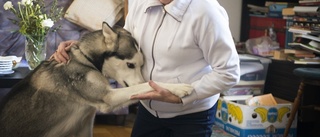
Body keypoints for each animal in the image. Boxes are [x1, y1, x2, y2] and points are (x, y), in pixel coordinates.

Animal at [0, 22, 192, 136]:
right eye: (130, 65)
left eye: (142, 64)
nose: (138, 80)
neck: (86, 60)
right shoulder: (108, 97)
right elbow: (144, 86)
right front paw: (179, 87)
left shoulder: (85, 122)